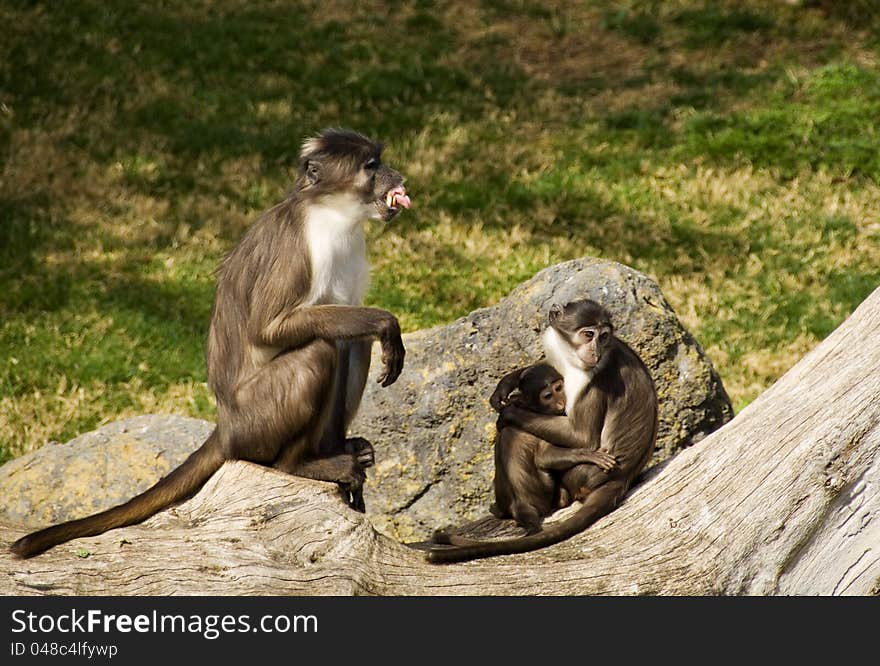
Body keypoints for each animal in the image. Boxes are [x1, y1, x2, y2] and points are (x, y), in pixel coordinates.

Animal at [12, 128, 412, 556]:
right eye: (372, 166)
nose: (397, 177)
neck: (333, 214)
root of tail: (226, 426)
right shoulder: (300, 244)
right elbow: (268, 330)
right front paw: (386, 322)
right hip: (256, 420)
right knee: (319, 350)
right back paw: (300, 464)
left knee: (350, 341)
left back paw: (334, 448)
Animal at [430, 298, 656, 564]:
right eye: (588, 334)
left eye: (603, 337)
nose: (596, 352)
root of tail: (621, 479)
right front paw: (508, 383)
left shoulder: (592, 376)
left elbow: (583, 437)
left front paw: (510, 412)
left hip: (577, 476)